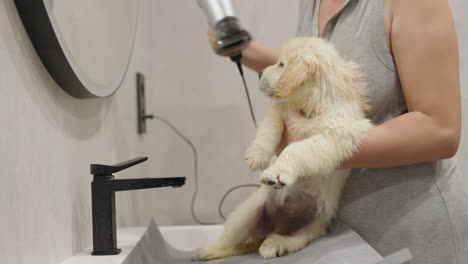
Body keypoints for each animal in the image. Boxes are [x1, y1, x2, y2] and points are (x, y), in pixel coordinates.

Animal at [191, 36, 372, 260]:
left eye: (281, 64)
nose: (259, 72)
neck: (309, 107)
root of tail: (273, 226)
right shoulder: (280, 111)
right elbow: (270, 127)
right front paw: (257, 154)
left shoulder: (336, 135)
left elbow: (296, 149)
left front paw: (277, 172)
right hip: (245, 214)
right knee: (230, 239)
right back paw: (205, 250)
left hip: (311, 227)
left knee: (283, 239)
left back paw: (273, 244)